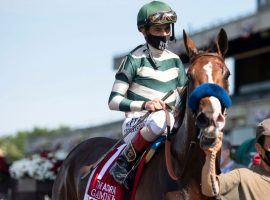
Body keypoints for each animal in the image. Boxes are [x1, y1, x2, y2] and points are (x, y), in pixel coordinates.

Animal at [52, 28, 230, 200]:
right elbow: (115, 98)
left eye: (227, 73)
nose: (209, 118)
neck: (186, 172)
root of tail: (72, 153)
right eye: (189, 75)